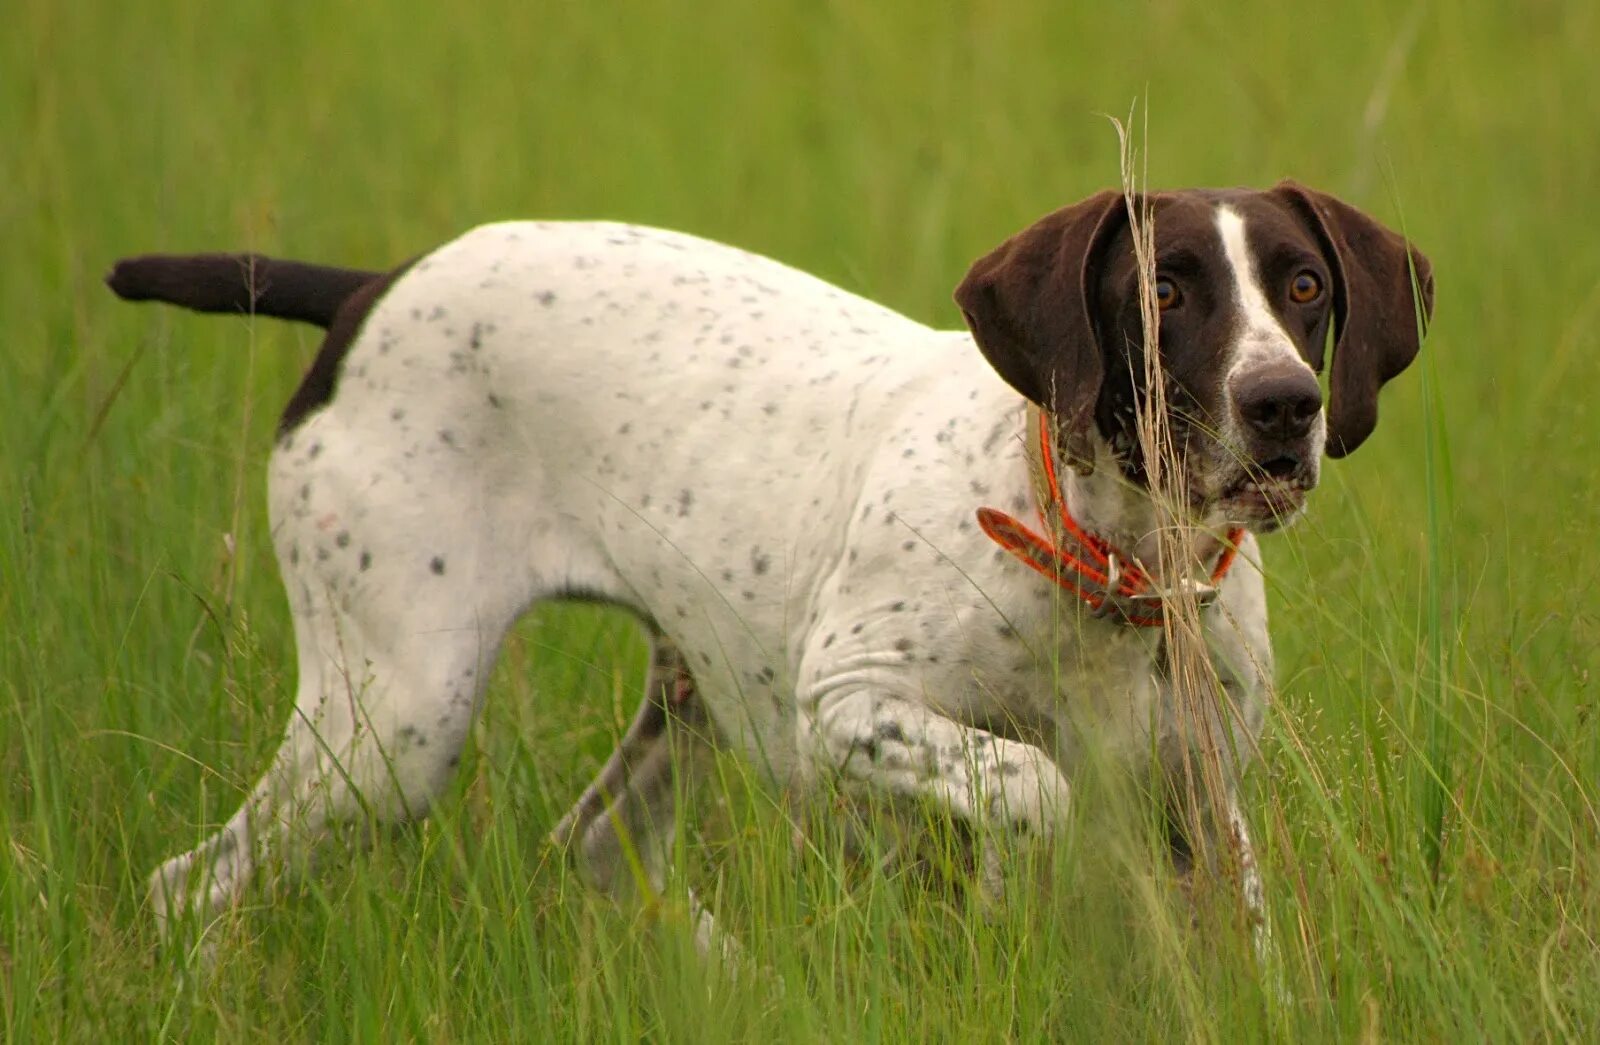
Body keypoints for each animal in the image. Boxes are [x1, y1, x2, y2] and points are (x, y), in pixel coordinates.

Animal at [112, 183, 1440, 947]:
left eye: (1304, 284)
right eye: (1163, 289)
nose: (1284, 405)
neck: (1110, 559)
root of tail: (372, 290)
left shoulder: (1206, 804)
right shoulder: (844, 706)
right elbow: (1033, 786)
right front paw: (1009, 898)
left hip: (683, 701)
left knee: (598, 846)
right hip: (393, 723)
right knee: (188, 883)